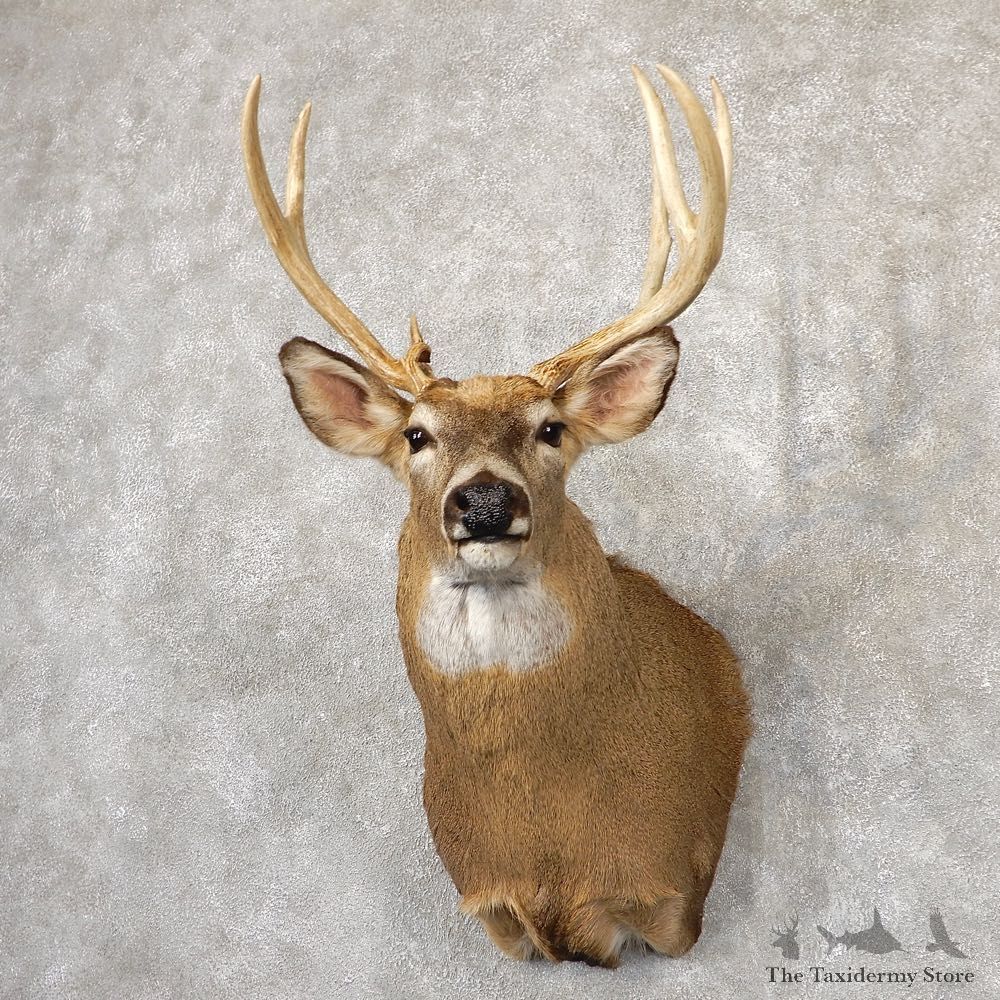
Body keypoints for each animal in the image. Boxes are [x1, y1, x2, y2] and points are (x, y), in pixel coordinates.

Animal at [241, 63, 751, 969]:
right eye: (417, 435)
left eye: (551, 429)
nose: (483, 500)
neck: (547, 842)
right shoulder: (488, 903)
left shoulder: (675, 890)